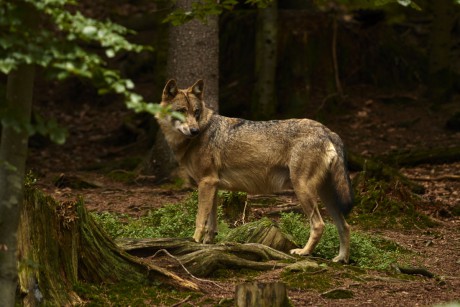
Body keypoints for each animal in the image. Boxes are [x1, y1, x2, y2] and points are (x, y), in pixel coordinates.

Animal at [156, 79, 354, 262]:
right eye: (182, 111)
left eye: (196, 112)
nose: (194, 130)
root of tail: (327, 130)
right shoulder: (212, 185)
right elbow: (211, 223)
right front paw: (207, 244)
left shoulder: (207, 182)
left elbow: (200, 220)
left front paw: (194, 241)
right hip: (326, 194)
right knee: (344, 225)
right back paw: (341, 259)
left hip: (302, 189)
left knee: (320, 225)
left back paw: (304, 252)